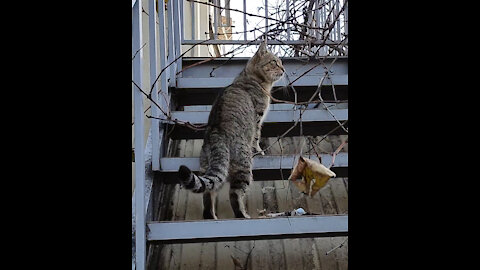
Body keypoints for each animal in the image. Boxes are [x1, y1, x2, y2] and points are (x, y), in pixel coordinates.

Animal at [179, 41, 284, 219]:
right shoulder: (257, 117)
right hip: (243, 167)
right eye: (274, 62)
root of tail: (216, 133)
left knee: (208, 193)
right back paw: (243, 215)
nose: (284, 69)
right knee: (234, 195)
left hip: (207, 166)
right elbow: (256, 137)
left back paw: (212, 217)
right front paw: (259, 150)